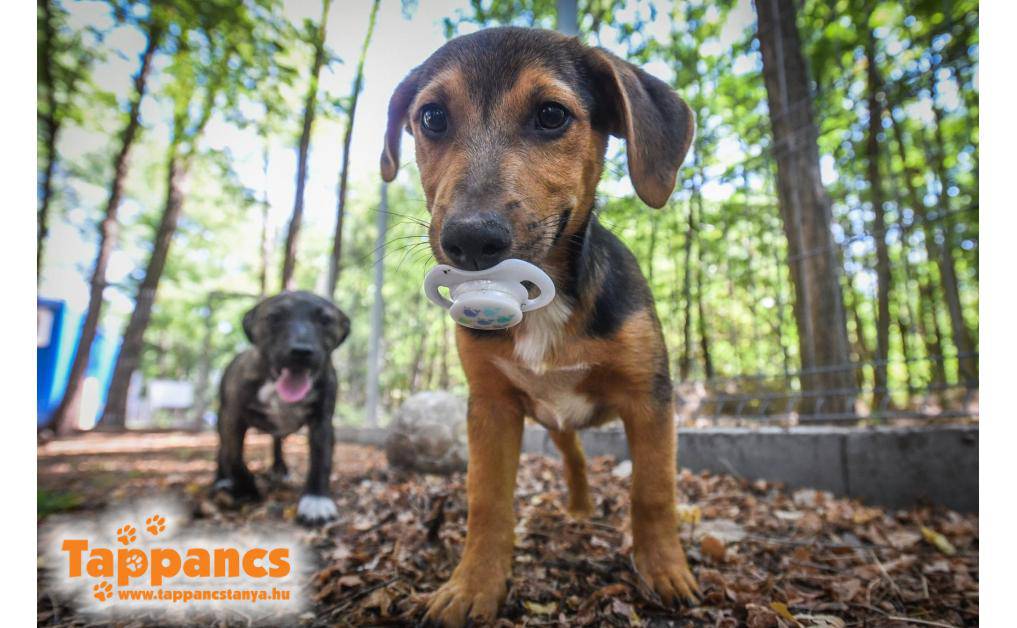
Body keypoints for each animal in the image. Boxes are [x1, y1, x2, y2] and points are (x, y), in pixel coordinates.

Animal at [213, 291, 350, 525]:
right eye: (274, 317)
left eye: (325, 320)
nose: (301, 351)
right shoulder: (232, 418)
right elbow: (234, 457)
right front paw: (247, 489)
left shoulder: (322, 422)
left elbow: (321, 459)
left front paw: (316, 499)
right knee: (223, 450)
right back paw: (221, 480)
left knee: (276, 442)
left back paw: (279, 468)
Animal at [380, 27, 698, 626]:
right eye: (431, 118)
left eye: (551, 115)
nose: (470, 240)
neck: (544, 305)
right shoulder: (490, 408)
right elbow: (486, 502)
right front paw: (472, 586)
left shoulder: (651, 399)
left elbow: (653, 491)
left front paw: (667, 572)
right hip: (553, 421)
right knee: (573, 457)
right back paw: (577, 507)